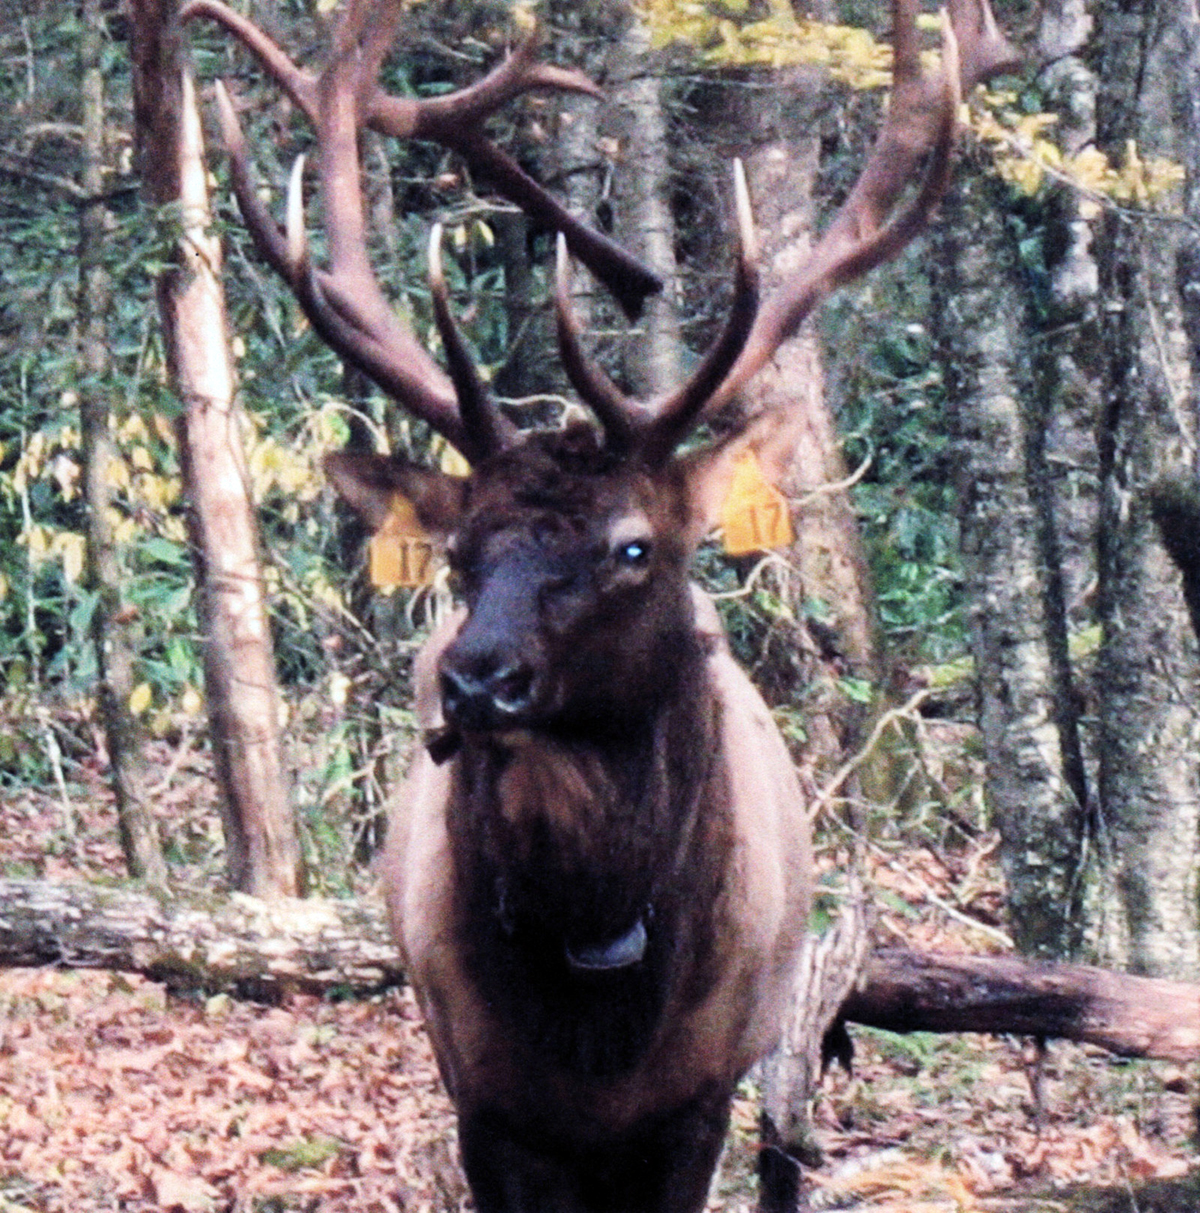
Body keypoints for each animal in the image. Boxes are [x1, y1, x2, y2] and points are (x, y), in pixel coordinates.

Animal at [183, 0, 1014, 1208]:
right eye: (461, 554)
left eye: (633, 545)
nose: (473, 680)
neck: (600, 1007)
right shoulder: (483, 1097)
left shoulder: (701, 1095)